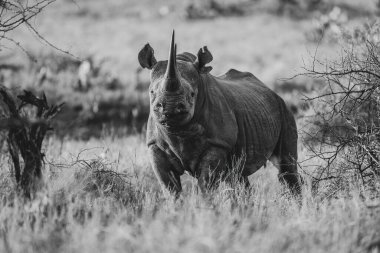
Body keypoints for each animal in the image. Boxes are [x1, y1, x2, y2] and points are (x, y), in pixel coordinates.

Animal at [138, 31, 302, 197]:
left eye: (192, 94)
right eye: (151, 92)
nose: (170, 109)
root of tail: (271, 90)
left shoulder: (217, 144)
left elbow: (206, 185)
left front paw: (206, 203)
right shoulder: (155, 146)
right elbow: (170, 187)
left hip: (283, 109)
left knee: (286, 167)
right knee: (237, 175)